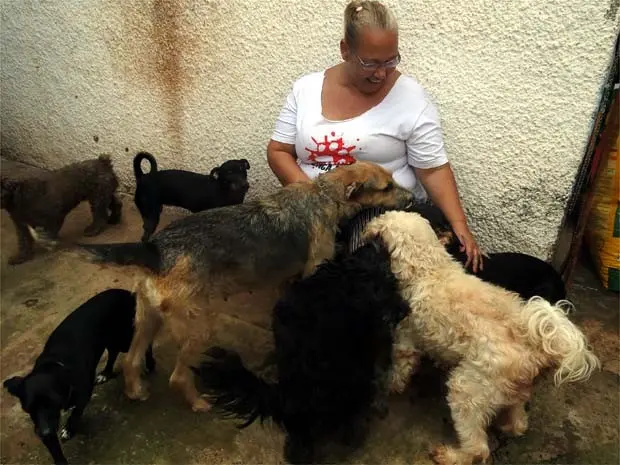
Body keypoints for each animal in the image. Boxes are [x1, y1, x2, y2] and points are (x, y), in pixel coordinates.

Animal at [3, 288, 155, 462]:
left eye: (53, 402)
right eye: (28, 408)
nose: (45, 433)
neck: (55, 364)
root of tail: (127, 292)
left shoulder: (83, 393)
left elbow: (76, 412)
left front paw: (69, 428)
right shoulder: (44, 422)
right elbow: (56, 451)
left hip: (126, 337)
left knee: (145, 341)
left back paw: (150, 364)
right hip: (111, 340)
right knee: (113, 352)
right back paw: (106, 373)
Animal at [80, 162, 414, 410]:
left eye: (393, 181)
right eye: (386, 187)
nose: (413, 199)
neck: (324, 196)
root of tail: (156, 250)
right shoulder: (312, 270)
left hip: (147, 318)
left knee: (131, 360)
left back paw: (136, 391)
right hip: (199, 327)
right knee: (177, 377)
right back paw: (199, 403)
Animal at [364, 211, 600, 464]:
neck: (429, 268)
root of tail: (536, 346)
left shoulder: (405, 340)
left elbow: (399, 369)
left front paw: (391, 386)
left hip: (466, 391)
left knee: (478, 449)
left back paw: (449, 455)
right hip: (513, 391)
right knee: (520, 423)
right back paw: (506, 426)